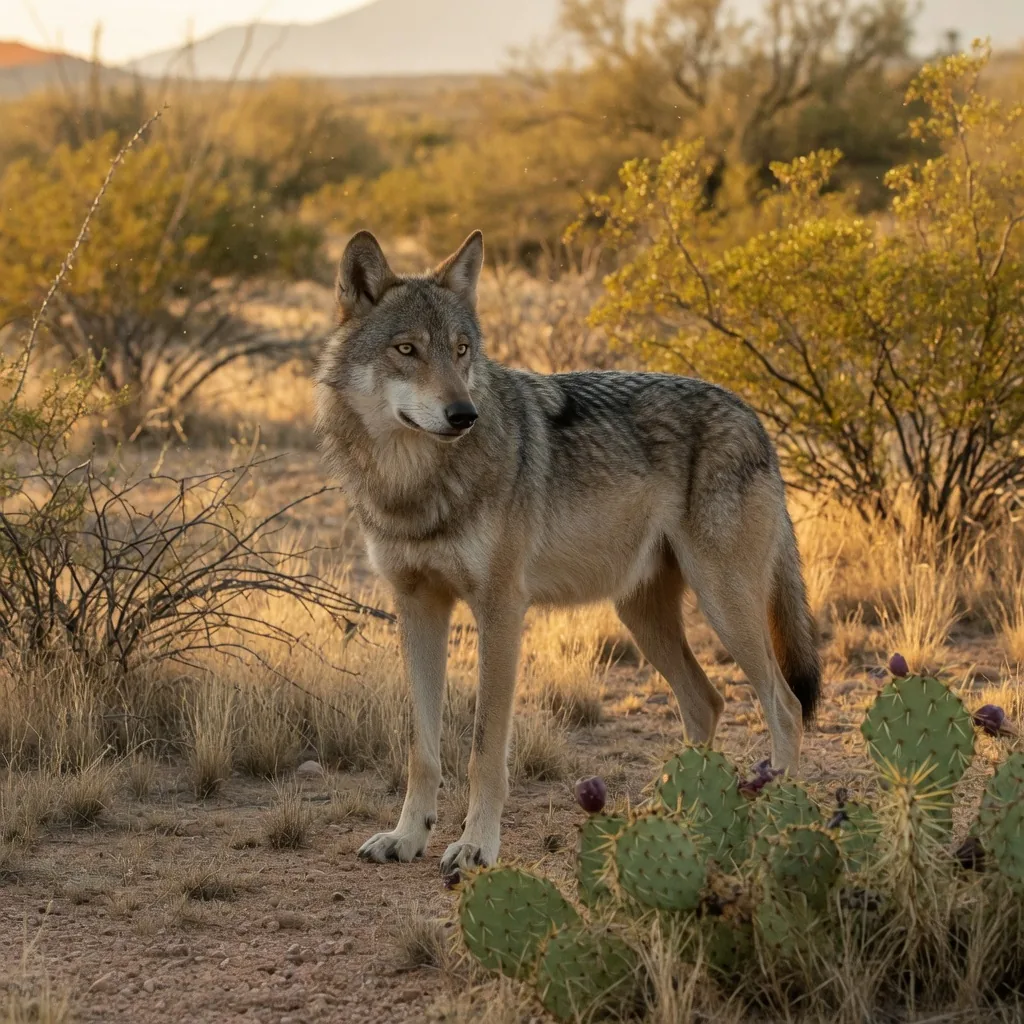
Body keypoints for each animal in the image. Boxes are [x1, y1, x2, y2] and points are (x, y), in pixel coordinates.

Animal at [313, 229, 821, 879]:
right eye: (407, 350)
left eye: (461, 350)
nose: (463, 414)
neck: (413, 485)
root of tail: (755, 417)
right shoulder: (417, 606)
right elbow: (421, 749)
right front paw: (406, 837)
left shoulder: (501, 610)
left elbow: (483, 750)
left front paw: (476, 846)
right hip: (643, 617)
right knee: (707, 701)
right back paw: (672, 816)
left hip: (724, 606)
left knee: (784, 705)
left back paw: (776, 817)